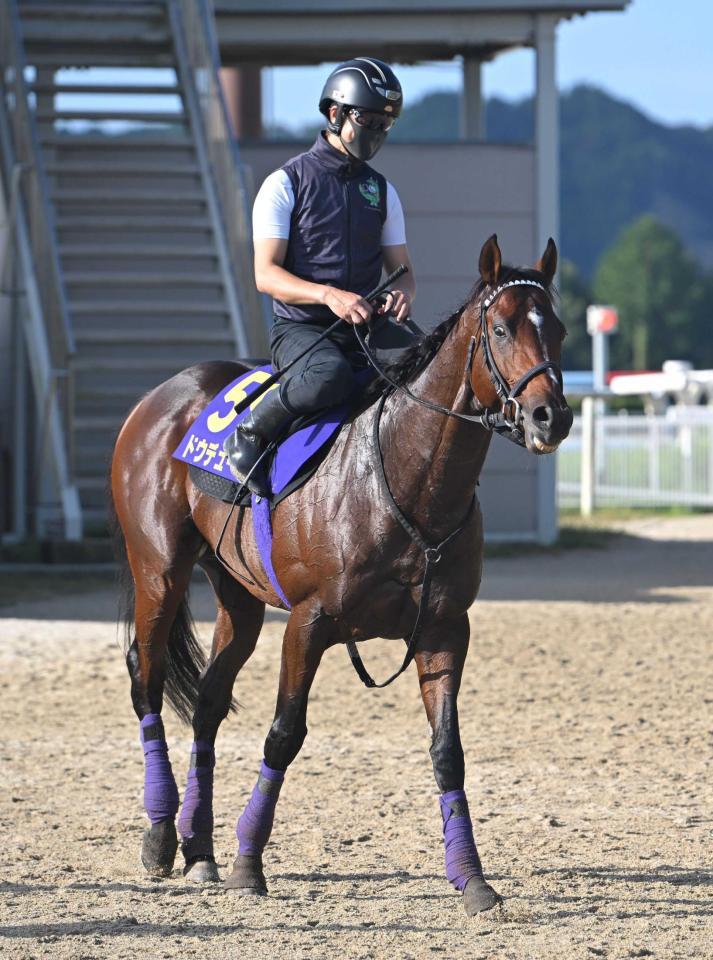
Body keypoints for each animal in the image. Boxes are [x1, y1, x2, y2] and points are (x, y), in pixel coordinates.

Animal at [108, 234, 572, 916]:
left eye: (558, 329)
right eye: (501, 327)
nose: (550, 418)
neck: (403, 479)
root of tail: (161, 396)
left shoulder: (444, 630)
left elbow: (448, 752)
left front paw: (472, 879)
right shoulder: (310, 622)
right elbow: (283, 734)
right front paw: (250, 864)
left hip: (238, 597)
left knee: (209, 704)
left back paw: (200, 850)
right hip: (160, 571)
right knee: (147, 678)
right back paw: (163, 835)